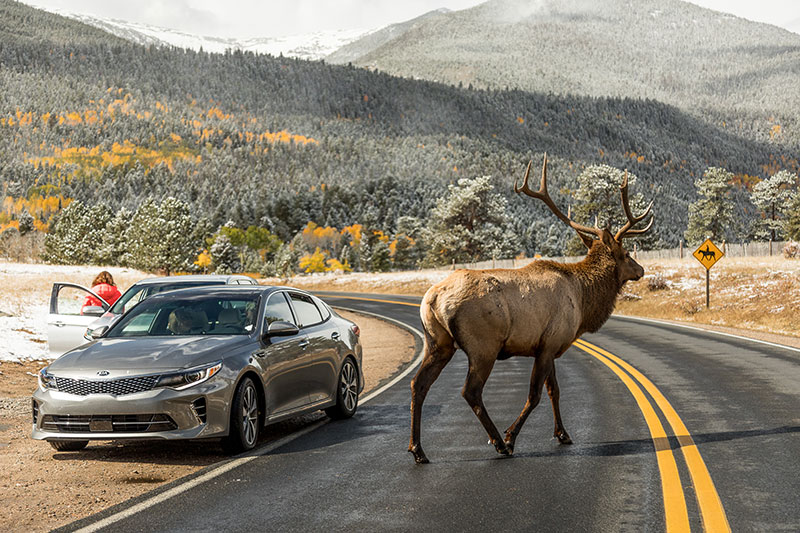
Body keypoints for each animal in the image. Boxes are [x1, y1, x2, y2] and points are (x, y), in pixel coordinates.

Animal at [410, 153, 652, 462]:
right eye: (625, 253)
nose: (641, 270)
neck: (583, 302)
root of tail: (433, 298)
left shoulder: (548, 344)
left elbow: (554, 390)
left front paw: (563, 434)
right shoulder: (549, 343)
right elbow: (535, 395)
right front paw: (512, 437)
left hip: (438, 342)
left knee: (419, 384)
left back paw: (418, 450)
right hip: (483, 345)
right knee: (470, 391)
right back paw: (498, 443)